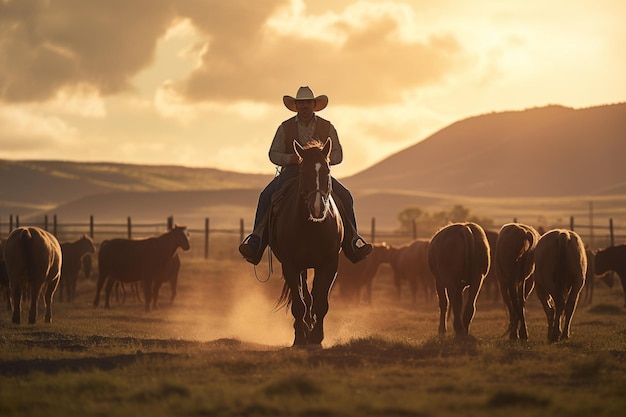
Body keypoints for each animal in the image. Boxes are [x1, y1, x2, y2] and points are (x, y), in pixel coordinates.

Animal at [270, 139, 342, 344]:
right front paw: (301, 338)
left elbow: (321, 302)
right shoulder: (290, 265)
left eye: (327, 171)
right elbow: (299, 304)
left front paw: (317, 336)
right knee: (304, 297)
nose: (317, 208)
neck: (311, 228)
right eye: (303, 172)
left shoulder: (329, 264)